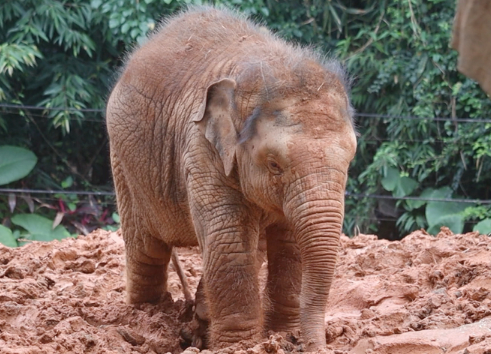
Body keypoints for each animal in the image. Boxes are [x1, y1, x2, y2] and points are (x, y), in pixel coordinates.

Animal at [105, 5, 356, 352]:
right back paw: (147, 317)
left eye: (350, 160)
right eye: (274, 165)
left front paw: (283, 335)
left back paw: (198, 318)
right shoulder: (200, 149)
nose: (317, 346)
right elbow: (229, 238)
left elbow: (290, 242)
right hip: (124, 164)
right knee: (147, 248)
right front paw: (240, 346)